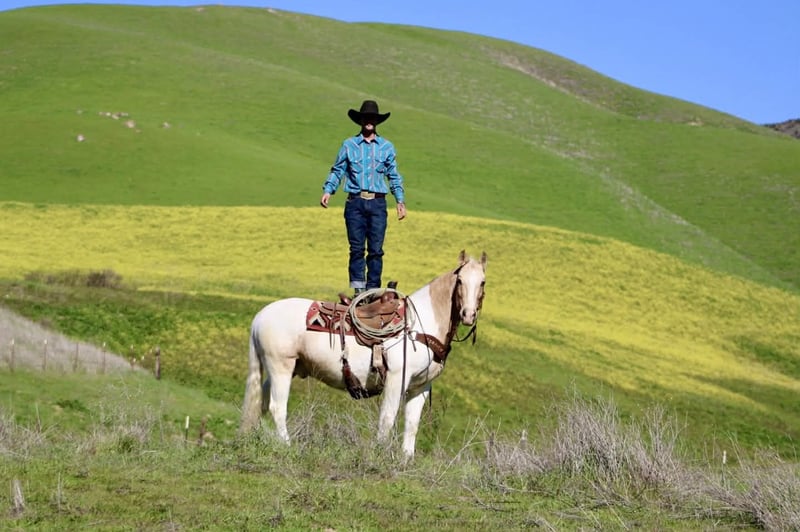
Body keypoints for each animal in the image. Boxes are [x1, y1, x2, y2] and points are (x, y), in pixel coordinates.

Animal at [239, 249, 487, 458]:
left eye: (483, 282)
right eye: (460, 281)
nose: (468, 315)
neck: (419, 325)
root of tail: (260, 316)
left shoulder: (421, 386)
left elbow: (411, 424)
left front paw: (406, 460)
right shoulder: (397, 379)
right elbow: (387, 418)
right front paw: (379, 454)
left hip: (283, 370)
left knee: (261, 402)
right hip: (281, 368)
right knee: (277, 407)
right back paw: (287, 446)